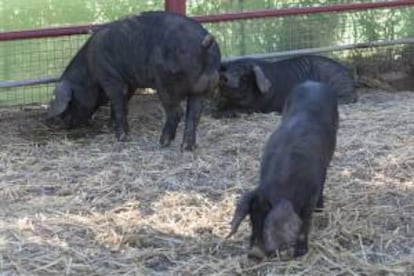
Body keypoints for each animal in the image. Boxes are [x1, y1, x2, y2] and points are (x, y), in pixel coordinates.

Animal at [47, 10, 222, 150]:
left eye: (71, 101)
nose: (61, 122)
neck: (89, 72)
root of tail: (204, 43)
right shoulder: (130, 83)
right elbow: (123, 104)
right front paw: (109, 128)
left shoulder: (110, 77)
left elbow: (117, 104)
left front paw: (121, 137)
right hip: (203, 88)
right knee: (194, 115)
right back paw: (187, 147)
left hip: (166, 83)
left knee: (177, 112)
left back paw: (162, 143)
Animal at [215, 54, 354, 117]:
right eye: (227, 68)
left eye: (243, 74)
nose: (223, 77)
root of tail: (348, 73)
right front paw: (217, 110)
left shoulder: (257, 107)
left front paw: (220, 114)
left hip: (337, 81)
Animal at [228, 80, 338, 258]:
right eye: (251, 220)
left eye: (267, 221)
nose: (254, 254)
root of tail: (313, 82)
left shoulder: (311, 195)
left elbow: (305, 223)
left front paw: (300, 253)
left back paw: (320, 208)